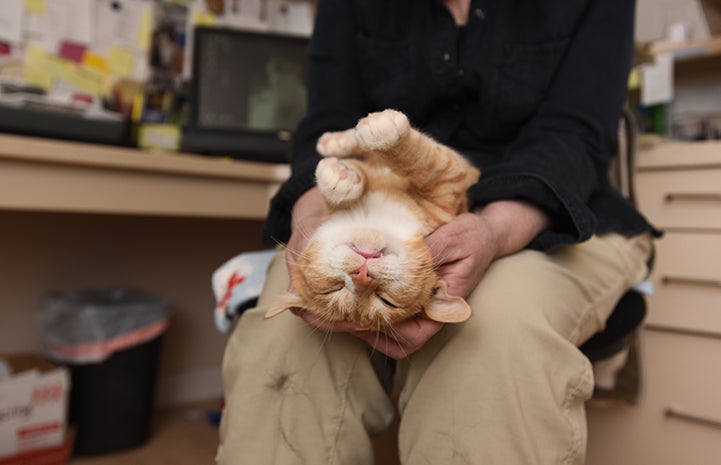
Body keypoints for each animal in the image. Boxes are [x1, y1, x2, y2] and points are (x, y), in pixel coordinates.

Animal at [264, 108, 478, 330]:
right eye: (334, 288)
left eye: (386, 301)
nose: (361, 274)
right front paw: (341, 179)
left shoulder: (450, 185)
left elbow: (420, 160)